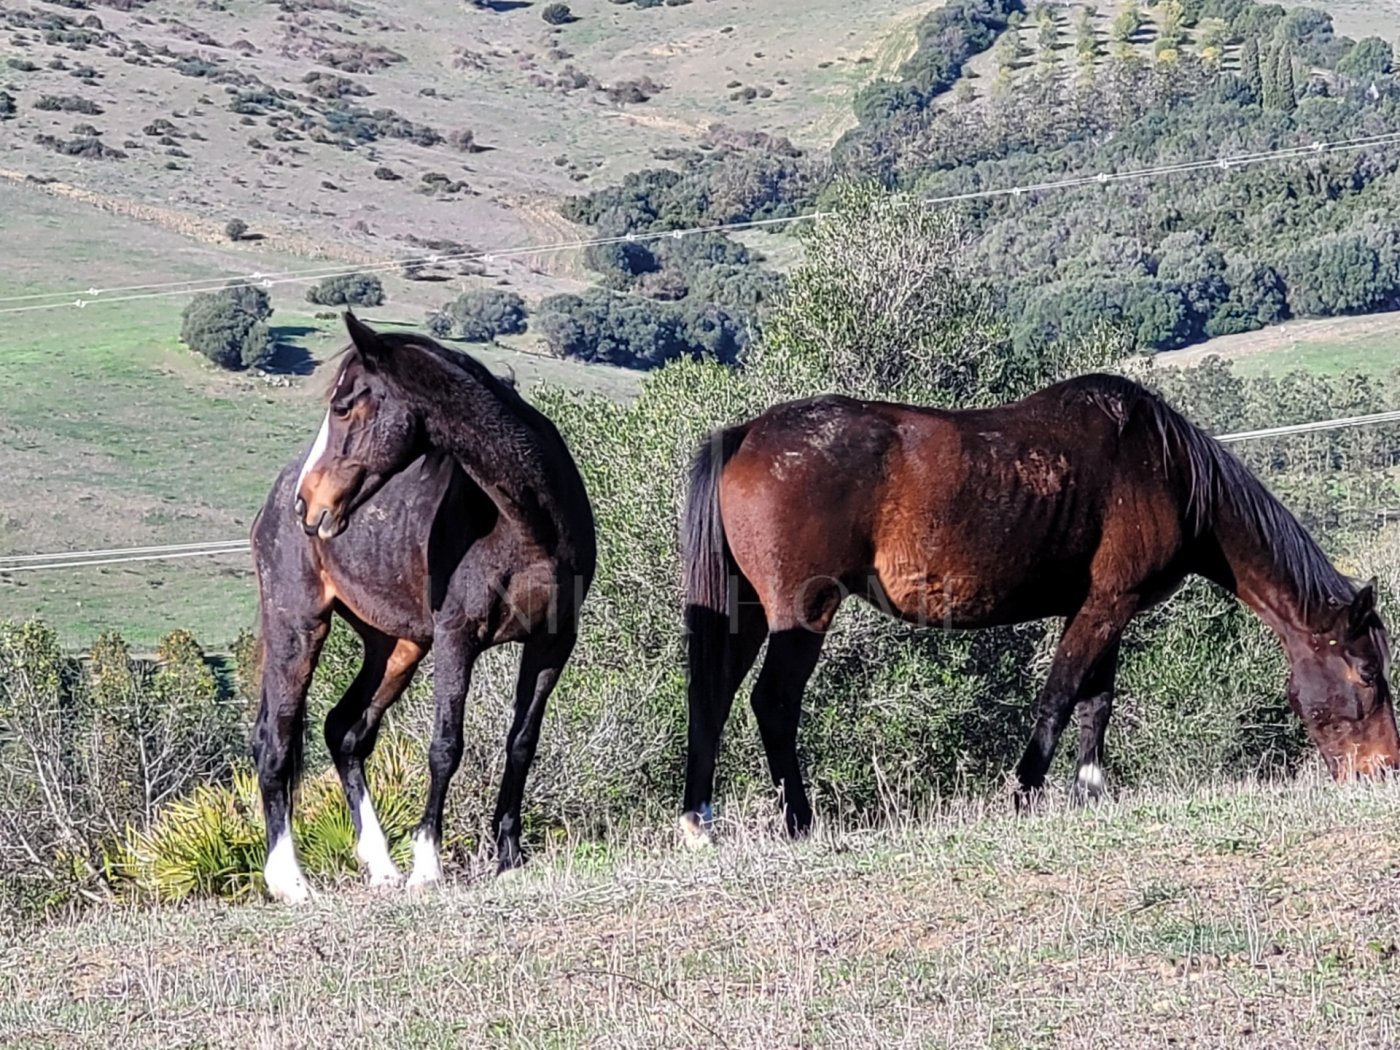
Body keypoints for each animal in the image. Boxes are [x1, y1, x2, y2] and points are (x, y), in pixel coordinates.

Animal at [249, 312, 596, 904]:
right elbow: (445, 745)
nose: (309, 503)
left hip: (395, 645)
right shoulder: (458, 637)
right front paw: (428, 864)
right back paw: (290, 880)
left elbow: (522, 742)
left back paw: (380, 865)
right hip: (298, 628)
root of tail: (270, 507)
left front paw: (508, 856)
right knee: (276, 741)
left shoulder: (553, 641)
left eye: (345, 406)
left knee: (345, 731)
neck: (526, 524)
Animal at [678, 372, 1398, 844]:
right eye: (1368, 673)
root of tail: (746, 435)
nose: (1384, 768)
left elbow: (1095, 702)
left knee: (712, 698)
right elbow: (1059, 697)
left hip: (746, 611)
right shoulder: (1105, 605)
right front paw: (1023, 793)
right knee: (773, 702)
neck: (1166, 467)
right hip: (802, 614)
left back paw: (698, 820)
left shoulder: (1107, 607)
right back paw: (799, 821)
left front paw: (1090, 789)